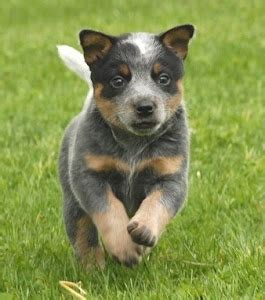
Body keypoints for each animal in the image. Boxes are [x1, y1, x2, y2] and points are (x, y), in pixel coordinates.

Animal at [57, 25, 194, 270]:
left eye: (164, 78)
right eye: (118, 81)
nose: (145, 106)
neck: (133, 145)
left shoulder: (172, 177)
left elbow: (158, 203)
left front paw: (144, 232)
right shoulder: (88, 176)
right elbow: (109, 209)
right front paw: (124, 248)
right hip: (72, 201)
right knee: (83, 234)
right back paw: (93, 269)